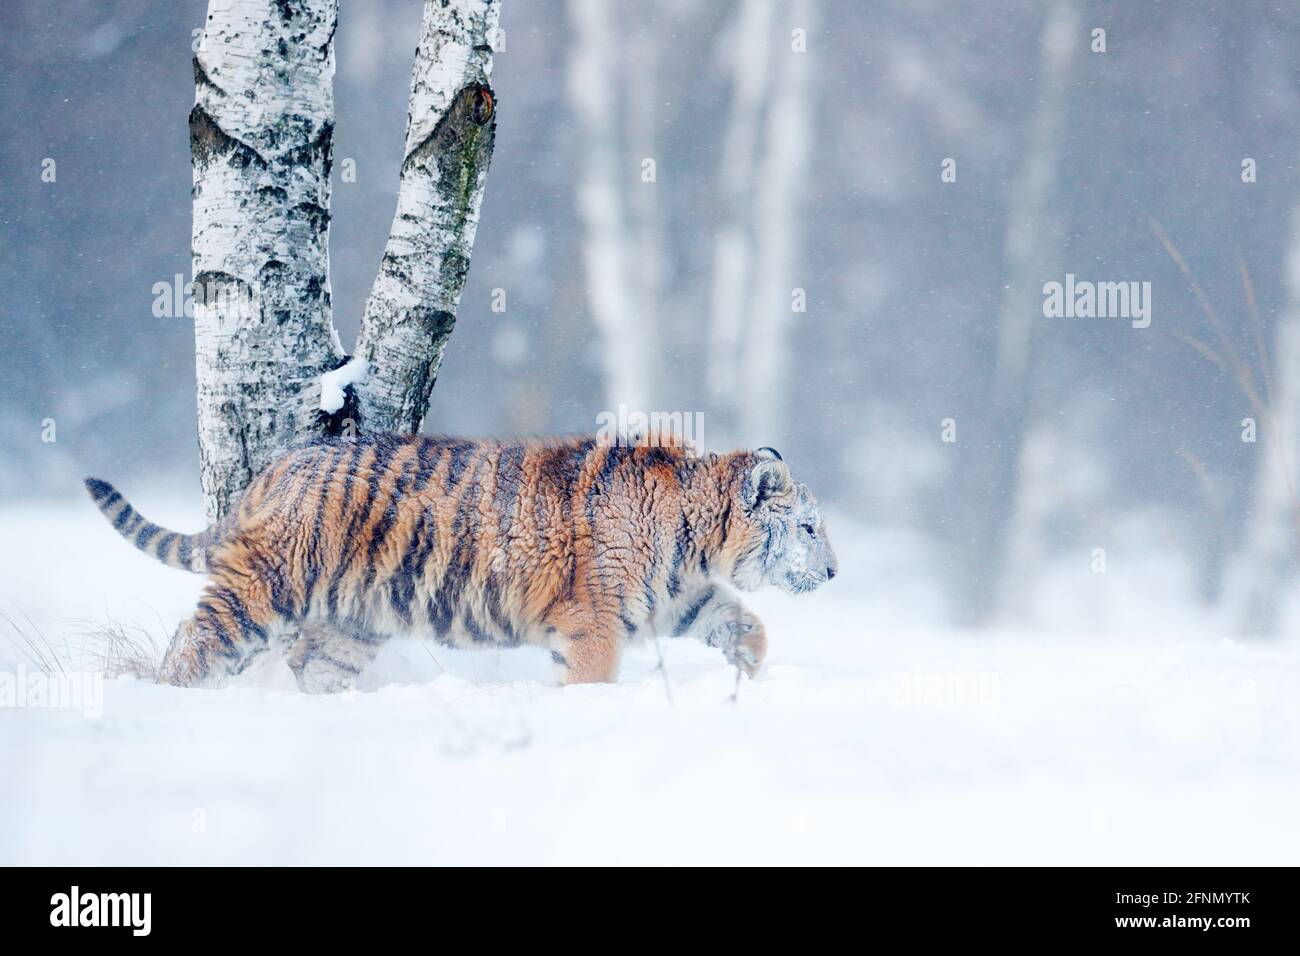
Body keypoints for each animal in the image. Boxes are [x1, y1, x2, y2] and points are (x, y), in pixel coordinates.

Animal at [84, 434, 838, 692]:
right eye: (808, 527)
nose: (834, 573)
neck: (694, 539)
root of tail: (279, 466)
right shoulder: (595, 619)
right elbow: (591, 677)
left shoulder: (679, 598)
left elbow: (744, 622)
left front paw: (746, 676)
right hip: (264, 588)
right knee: (196, 640)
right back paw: (172, 696)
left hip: (355, 619)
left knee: (311, 665)